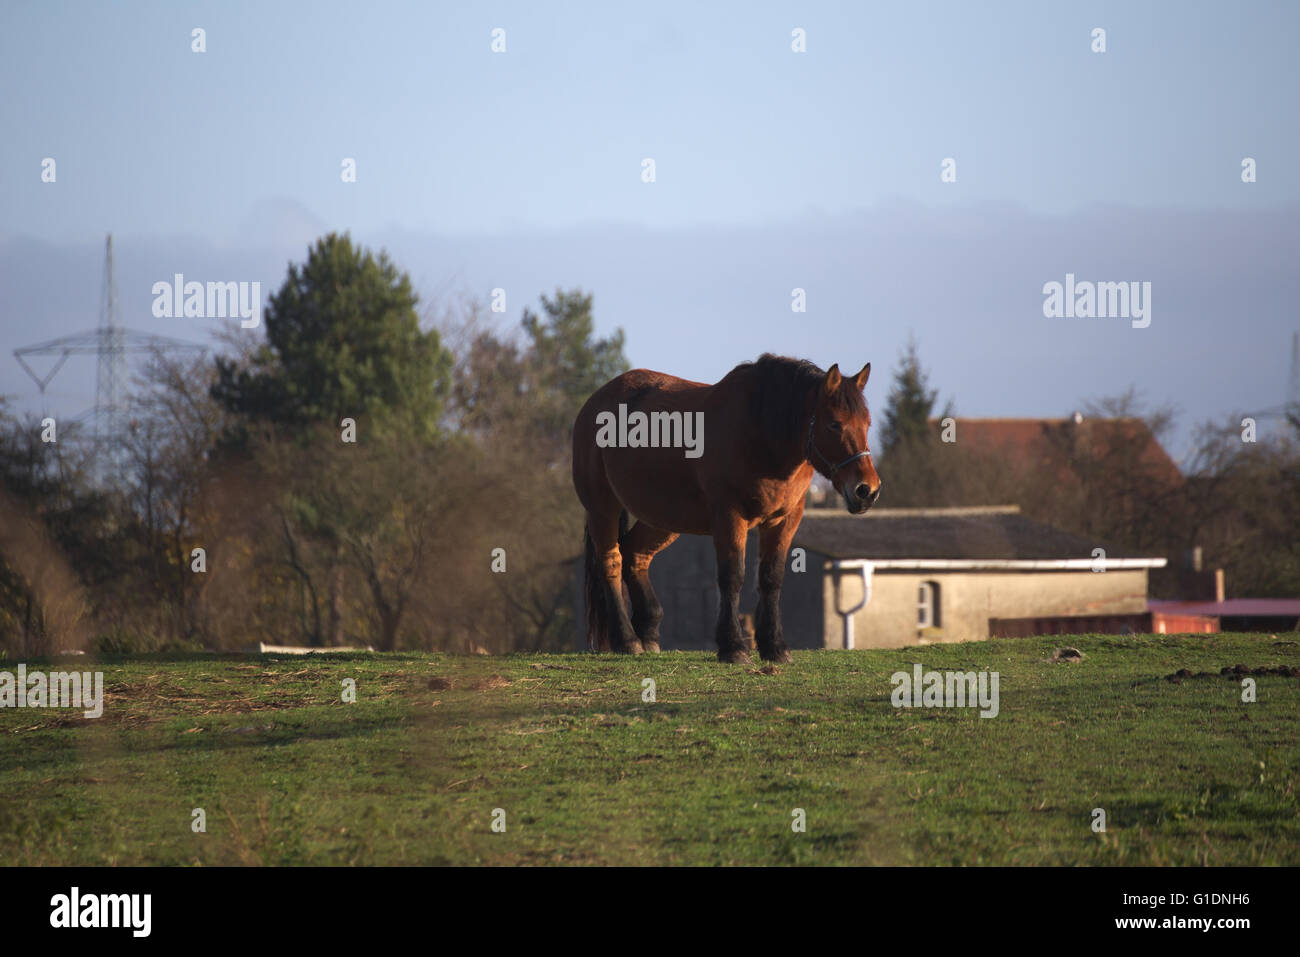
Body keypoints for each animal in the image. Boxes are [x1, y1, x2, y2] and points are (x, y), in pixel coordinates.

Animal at [572, 354, 882, 663]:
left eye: (867, 423)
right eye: (835, 424)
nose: (867, 490)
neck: (761, 433)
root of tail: (595, 401)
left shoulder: (784, 519)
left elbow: (771, 577)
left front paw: (775, 647)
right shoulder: (730, 517)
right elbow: (732, 576)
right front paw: (733, 647)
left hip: (662, 517)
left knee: (635, 555)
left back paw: (647, 633)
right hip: (602, 506)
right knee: (611, 562)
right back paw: (626, 639)